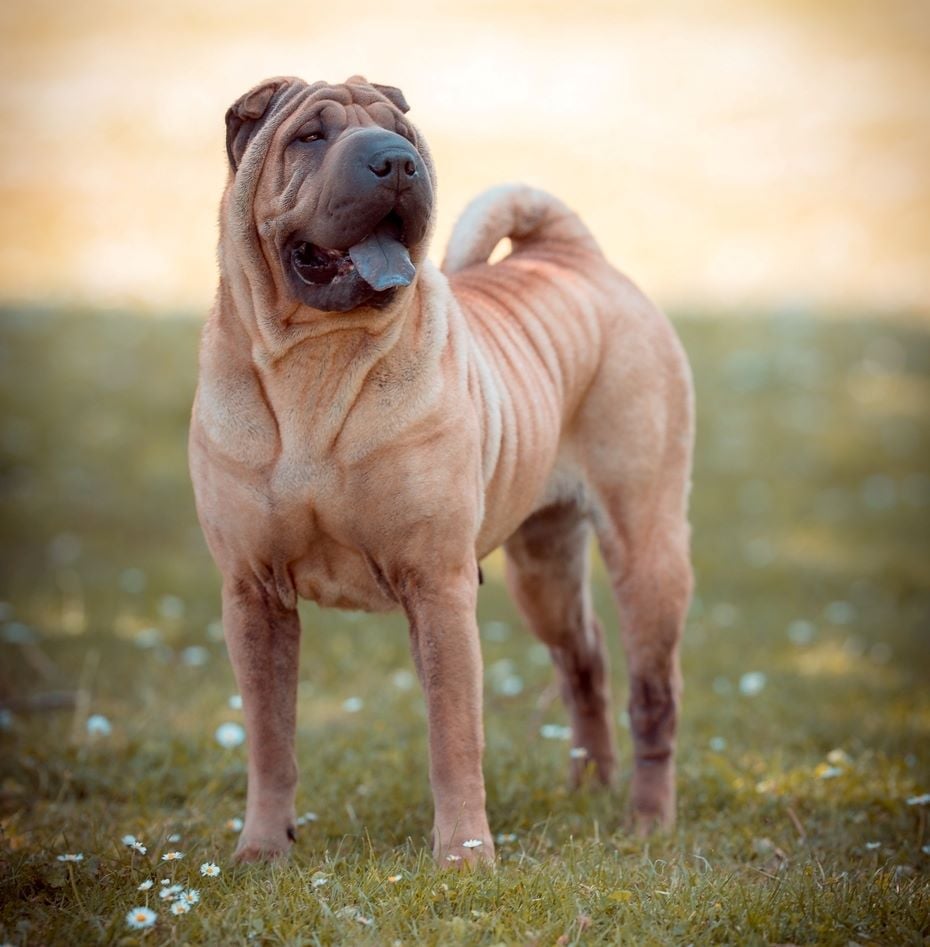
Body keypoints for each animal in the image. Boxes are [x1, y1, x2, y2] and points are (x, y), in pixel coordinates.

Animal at [190, 78, 696, 872]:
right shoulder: (253, 592)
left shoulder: (438, 584)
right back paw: (588, 789)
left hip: (645, 547)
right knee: (583, 658)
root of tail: (572, 255)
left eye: (402, 135)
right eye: (309, 136)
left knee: (654, 692)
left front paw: (464, 856)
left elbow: (453, 737)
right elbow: (271, 740)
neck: (316, 361)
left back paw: (647, 819)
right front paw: (261, 852)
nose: (395, 163)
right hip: (543, 566)